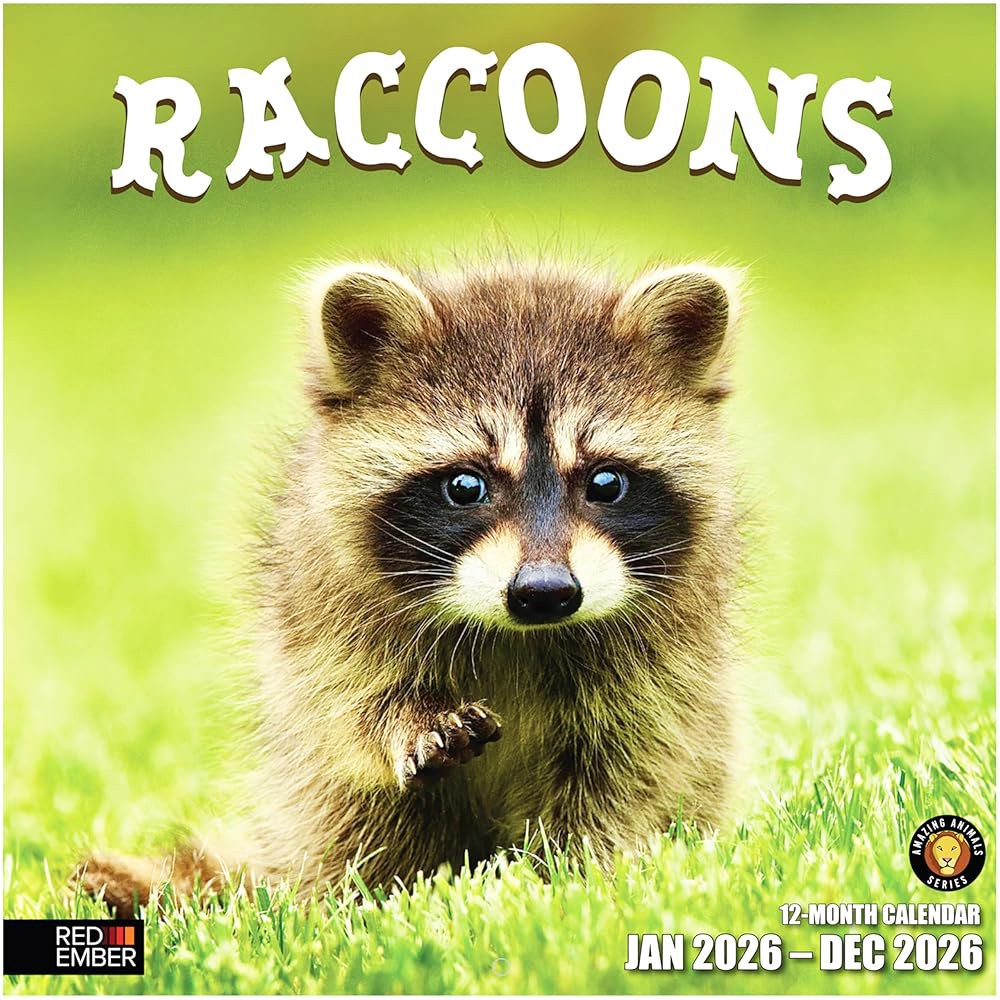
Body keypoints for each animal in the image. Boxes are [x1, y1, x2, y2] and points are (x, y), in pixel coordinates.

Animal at [76, 257, 745, 915]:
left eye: (605, 483)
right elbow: (345, 706)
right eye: (466, 486)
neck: (519, 633)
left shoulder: (668, 654)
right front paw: (406, 719)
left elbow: (632, 763)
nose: (545, 591)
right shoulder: (320, 598)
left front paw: (573, 875)